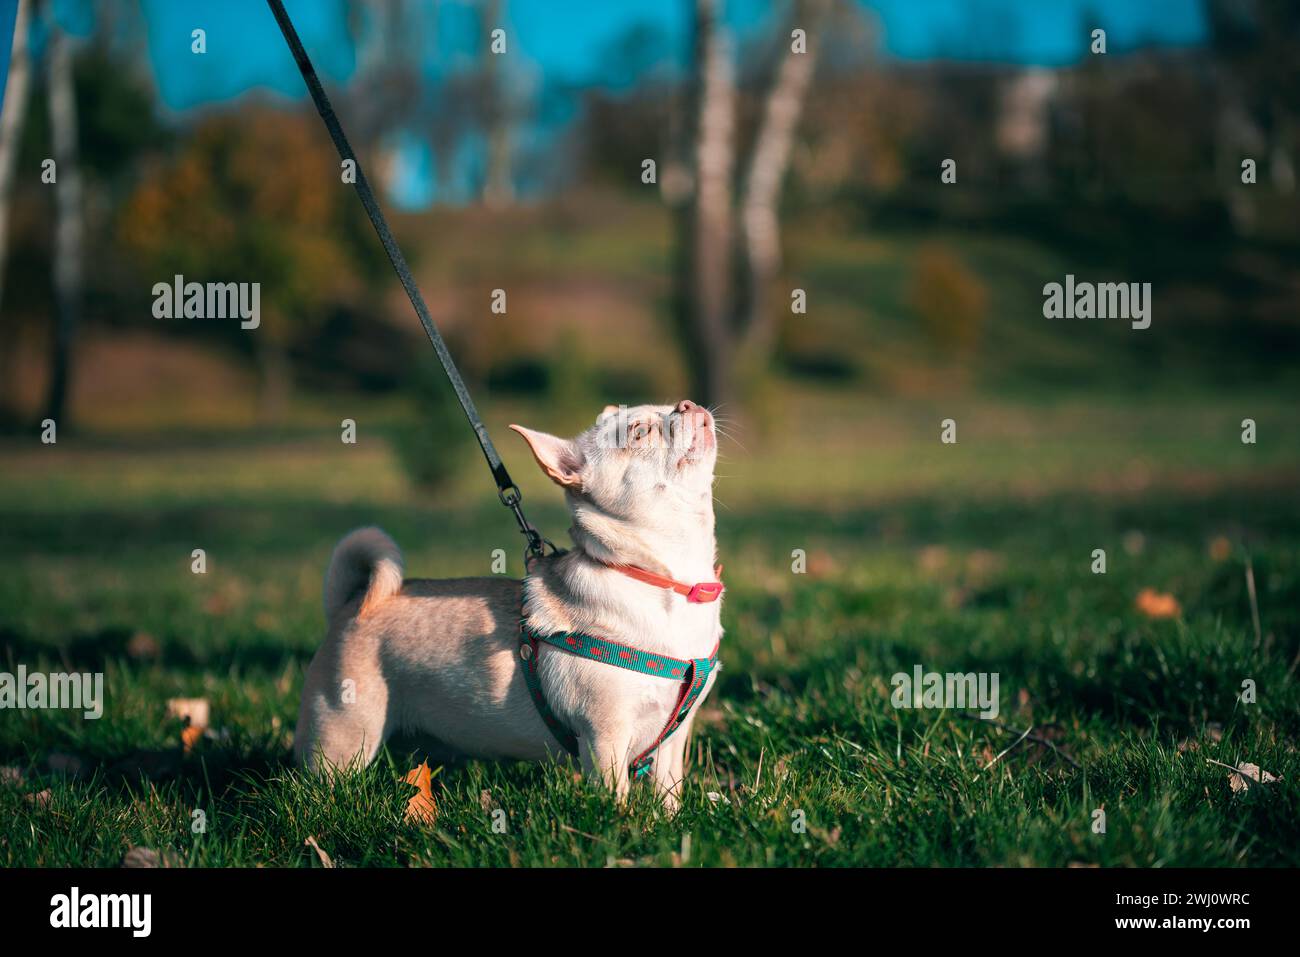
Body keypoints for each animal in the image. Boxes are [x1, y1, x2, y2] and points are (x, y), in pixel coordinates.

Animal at [292, 395, 722, 806]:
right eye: (639, 431)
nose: (686, 405)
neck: (663, 579)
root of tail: (349, 604)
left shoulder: (671, 743)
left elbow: (667, 795)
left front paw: (666, 822)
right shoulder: (605, 737)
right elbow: (615, 798)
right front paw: (622, 825)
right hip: (343, 738)